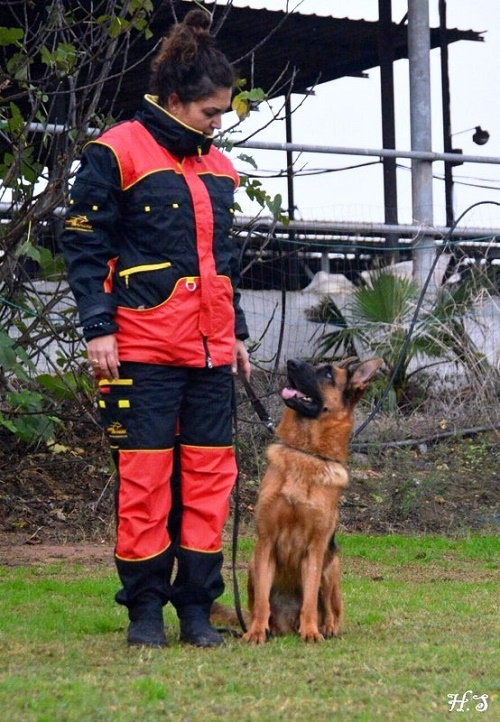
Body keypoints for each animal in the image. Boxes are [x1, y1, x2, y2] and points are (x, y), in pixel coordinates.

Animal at [242, 354, 382, 640]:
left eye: (327, 373)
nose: (290, 362)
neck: (305, 454)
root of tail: (287, 623)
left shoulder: (315, 550)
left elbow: (309, 598)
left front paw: (310, 632)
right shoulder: (266, 542)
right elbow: (261, 600)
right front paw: (256, 632)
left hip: (331, 567)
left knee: (331, 609)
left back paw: (326, 628)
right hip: (252, 563)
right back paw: (269, 627)